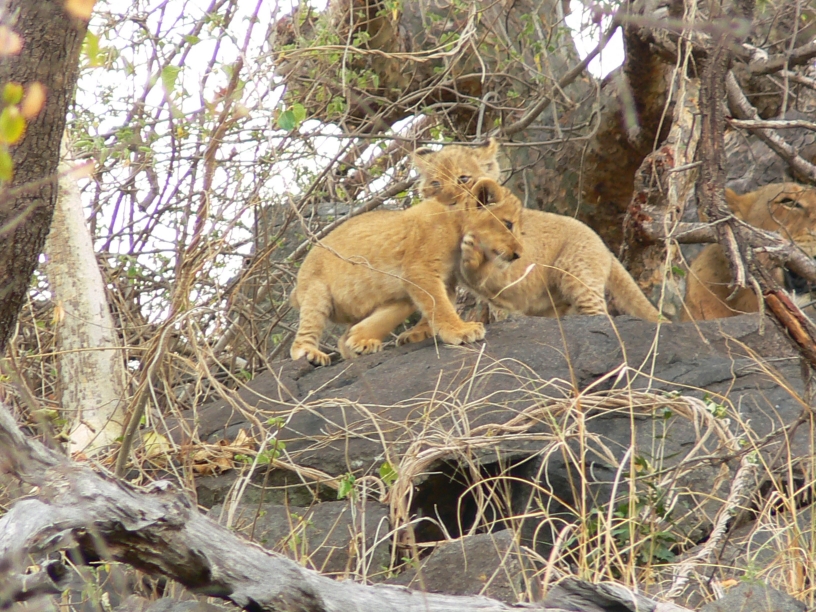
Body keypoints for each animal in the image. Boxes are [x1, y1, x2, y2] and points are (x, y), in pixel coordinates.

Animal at [289, 177, 523, 366]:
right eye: (508, 224)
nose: (519, 254)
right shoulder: (421, 270)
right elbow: (440, 306)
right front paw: (461, 331)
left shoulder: (443, 278)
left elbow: (441, 303)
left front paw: (417, 334)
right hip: (316, 292)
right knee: (302, 339)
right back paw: (312, 354)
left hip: (394, 291)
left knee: (348, 335)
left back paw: (361, 340)